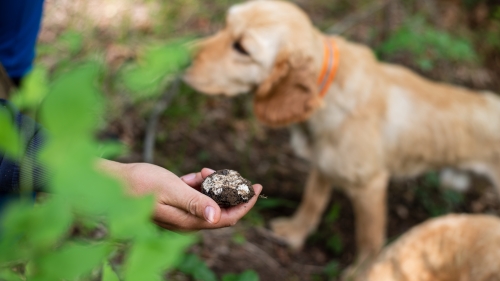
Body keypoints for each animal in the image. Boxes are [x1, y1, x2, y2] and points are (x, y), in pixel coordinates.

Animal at [183, 0, 500, 266]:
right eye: (225, 24)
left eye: (242, 48)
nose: (181, 57)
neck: (327, 90)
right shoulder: (323, 164)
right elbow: (313, 201)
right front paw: (295, 231)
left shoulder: (370, 185)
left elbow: (369, 239)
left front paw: (361, 270)